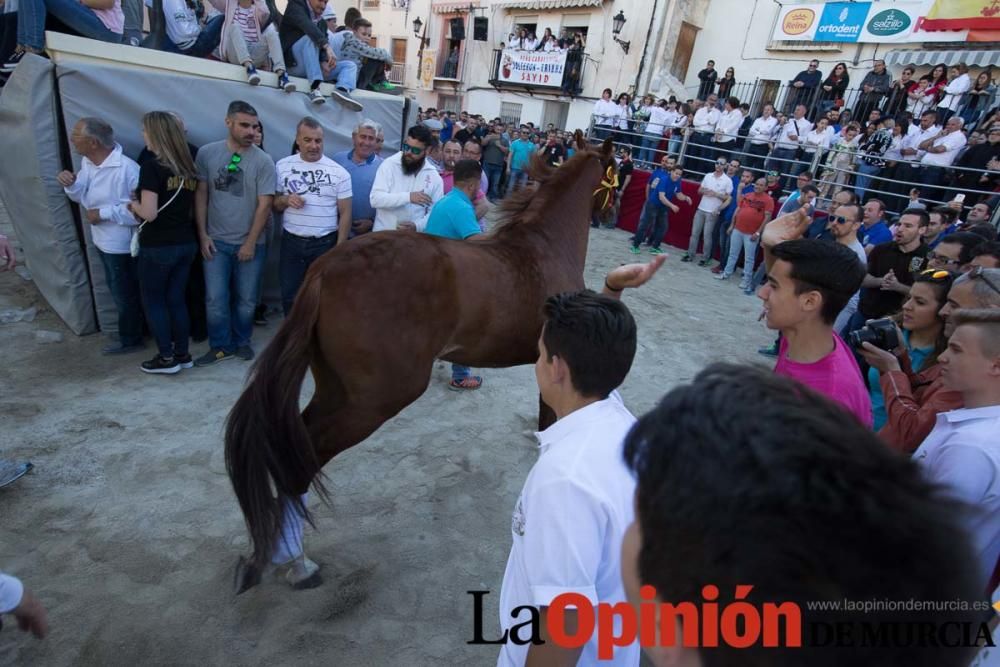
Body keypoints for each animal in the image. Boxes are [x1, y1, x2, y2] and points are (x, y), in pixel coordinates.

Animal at [227, 133, 616, 592]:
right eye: (618, 173)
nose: (611, 212)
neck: (545, 248)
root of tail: (324, 270)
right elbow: (551, 418)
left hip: (338, 390)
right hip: (376, 399)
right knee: (302, 457)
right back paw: (298, 562)